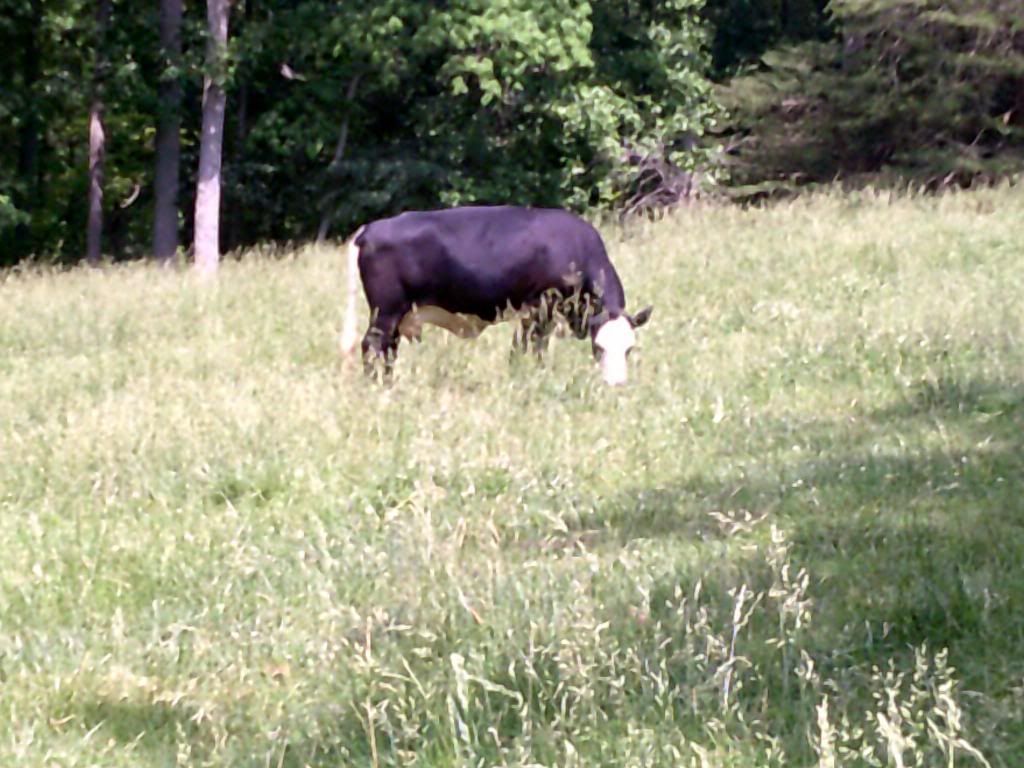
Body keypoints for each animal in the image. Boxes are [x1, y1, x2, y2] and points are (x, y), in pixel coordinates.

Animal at [338, 205, 652, 386]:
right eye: (599, 348)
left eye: (629, 349)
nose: (616, 385)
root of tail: (371, 228)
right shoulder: (539, 309)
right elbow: (531, 347)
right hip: (386, 311)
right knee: (371, 346)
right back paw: (375, 385)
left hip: (397, 314)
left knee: (389, 349)